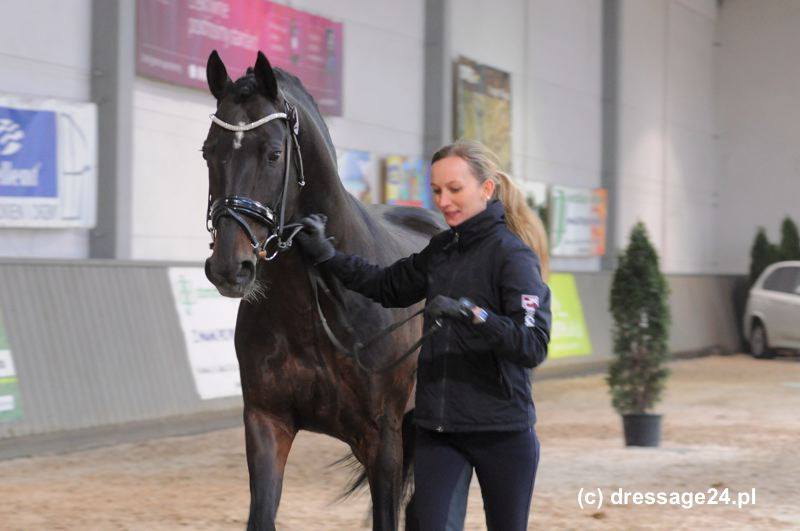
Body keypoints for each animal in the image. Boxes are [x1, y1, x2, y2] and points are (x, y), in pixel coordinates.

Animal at [202, 49, 445, 530]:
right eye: (207, 152)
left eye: (274, 153)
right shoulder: (267, 423)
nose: (228, 269)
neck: (314, 307)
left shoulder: (382, 438)